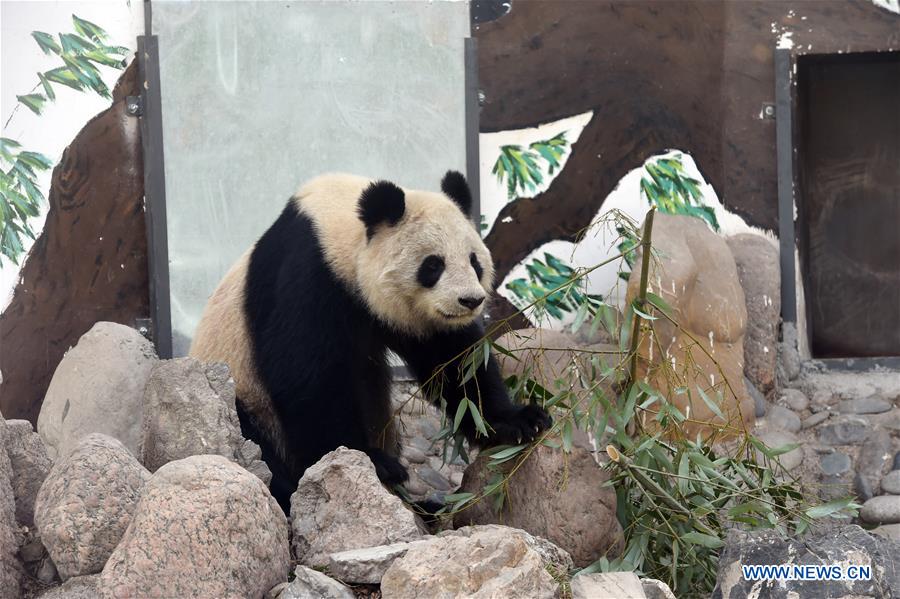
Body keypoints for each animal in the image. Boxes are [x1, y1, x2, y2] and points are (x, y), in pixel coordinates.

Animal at [190, 171, 551, 510]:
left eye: (474, 261)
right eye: (433, 265)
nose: (470, 301)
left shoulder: (411, 316)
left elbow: (455, 364)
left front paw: (519, 421)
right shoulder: (308, 272)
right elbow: (304, 374)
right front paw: (371, 460)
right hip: (239, 393)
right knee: (249, 437)